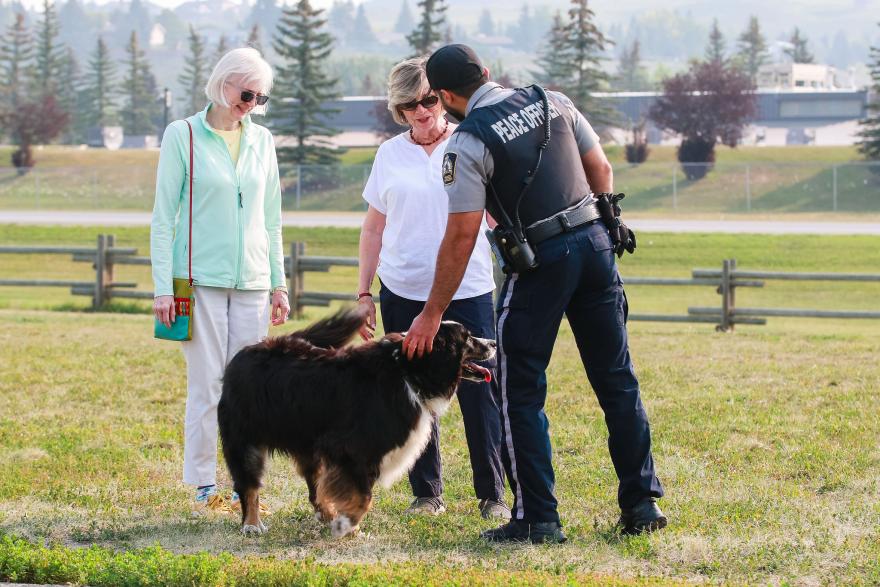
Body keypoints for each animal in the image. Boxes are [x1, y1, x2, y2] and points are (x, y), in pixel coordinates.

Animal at [217, 306, 496, 540]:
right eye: (467, 338)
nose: (493, 342)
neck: (408, 371)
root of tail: (245, 352)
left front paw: (346, 523)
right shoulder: (351, 449)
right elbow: (363, 496)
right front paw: (347, 525)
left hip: (307, 441)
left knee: (314, 488)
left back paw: (325, 514)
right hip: (245, 440)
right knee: (249, 486)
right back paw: (252, 524)